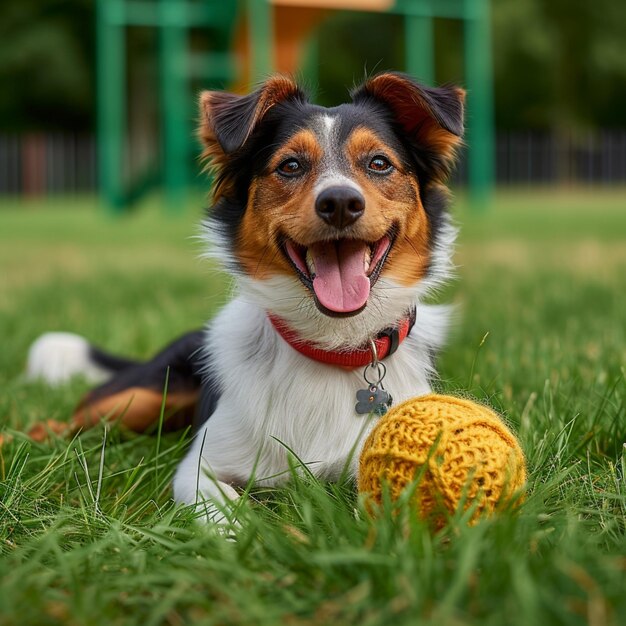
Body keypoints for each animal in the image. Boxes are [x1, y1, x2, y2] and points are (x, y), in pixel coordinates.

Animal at [25, 72, 464, 520]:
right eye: (290, 165)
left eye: (379, 163)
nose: (340, 202)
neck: (333, 345)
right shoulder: (199, 466)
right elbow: (223, 511)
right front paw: (240, 531)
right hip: (139, 397)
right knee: (62, 423)